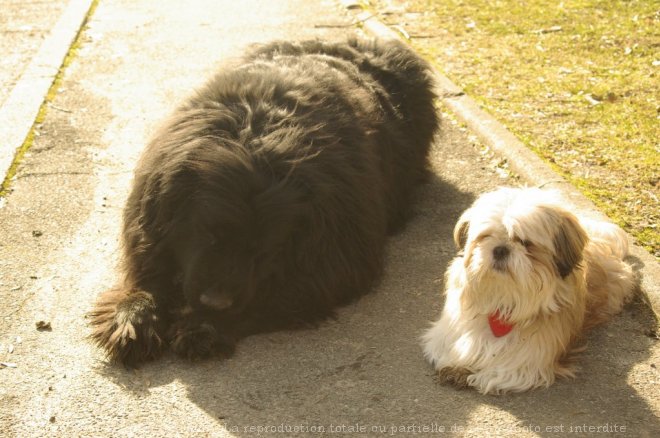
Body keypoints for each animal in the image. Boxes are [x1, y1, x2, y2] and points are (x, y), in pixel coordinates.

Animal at [89, 38, 438, 366]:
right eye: (208, 235)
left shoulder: (337, 255)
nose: (215, 301)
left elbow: (272, 295)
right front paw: (133, 319)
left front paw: (205, 326)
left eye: (263, 249)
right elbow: (150, 269)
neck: (256, 138)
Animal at [422, 187, 636, 394]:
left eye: (525, 242)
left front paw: (474, 374)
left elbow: (508, 367)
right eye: (486, 236)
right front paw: (457, 364)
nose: (500, 249)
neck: (505, 294)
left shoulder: (531, 357)